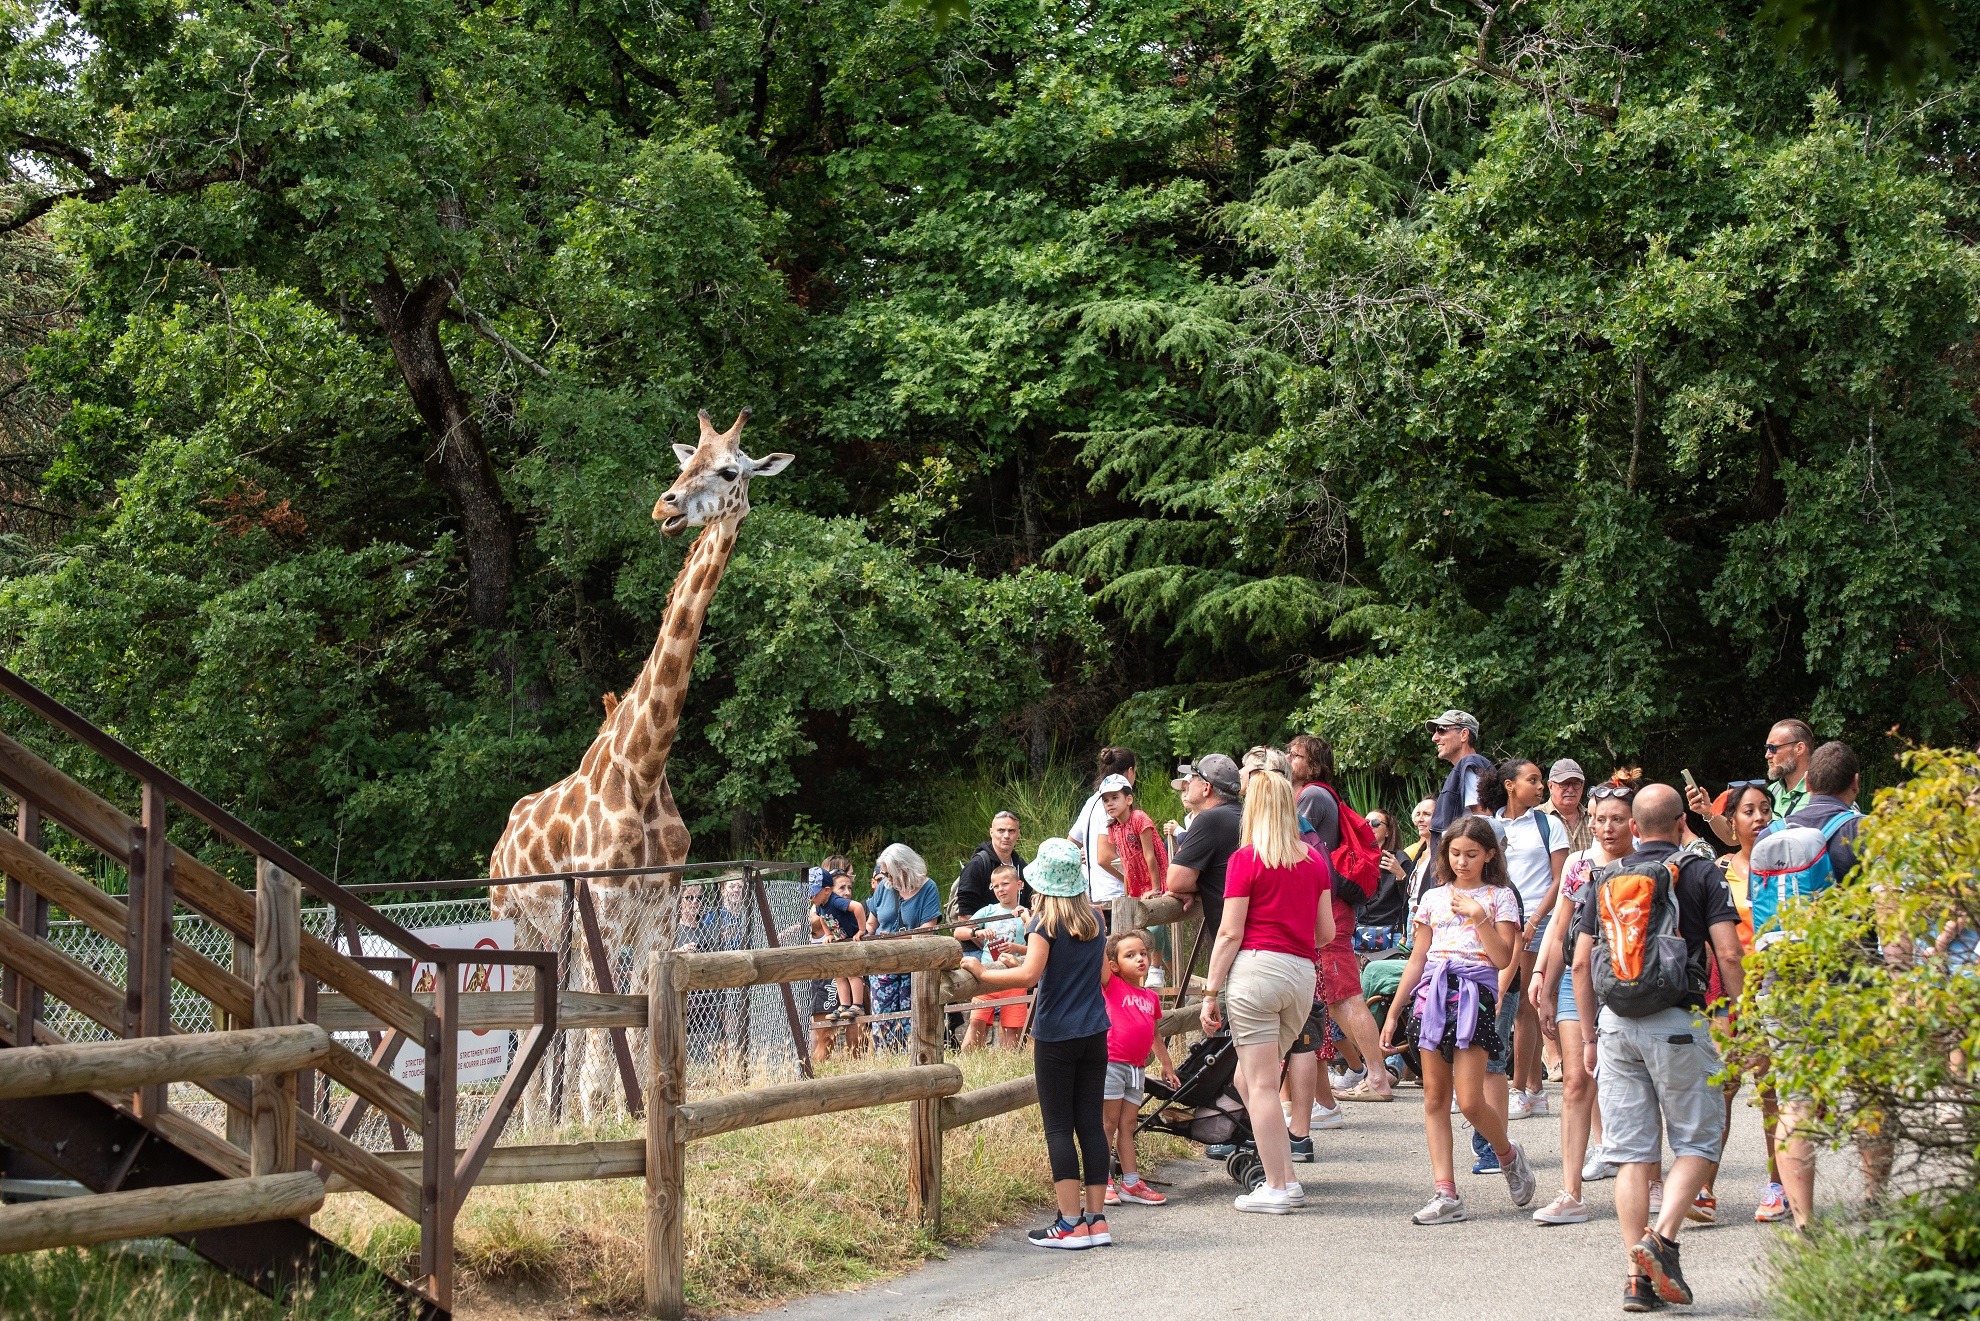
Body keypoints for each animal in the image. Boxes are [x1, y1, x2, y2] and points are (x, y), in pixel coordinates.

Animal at [489, 408, 793, 1124]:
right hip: (516, 923)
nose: (667, 505)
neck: (644, 768)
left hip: (558, 936)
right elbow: (599, 1050)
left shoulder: (658, 914)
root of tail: (501, 838)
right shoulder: (602, 907)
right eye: (685, 463)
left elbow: (631, 1027)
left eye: (729, 470)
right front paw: (599, 1123)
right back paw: (530, 1123)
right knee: (528, 1027)